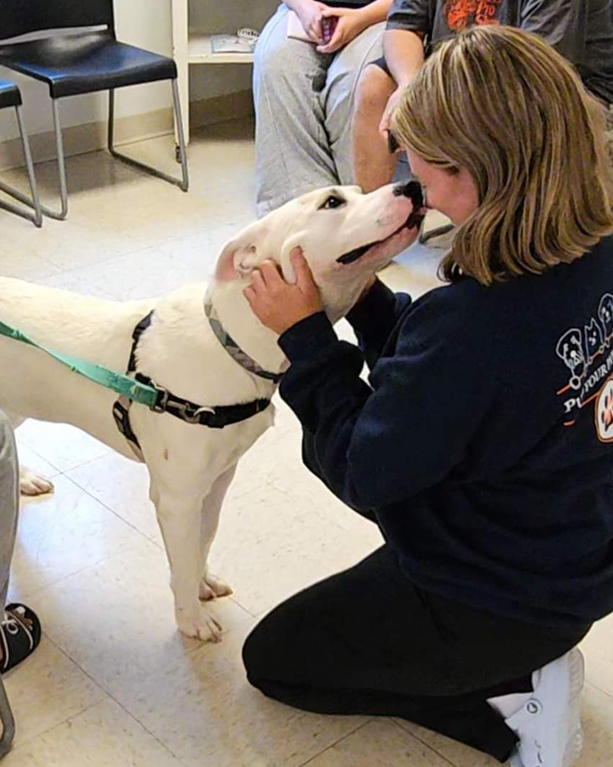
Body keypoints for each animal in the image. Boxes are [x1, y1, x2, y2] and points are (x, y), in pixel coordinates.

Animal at [0, 182, 420, 640]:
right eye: (331, 202)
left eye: (357, 190)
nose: (413, 186)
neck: (234, 346)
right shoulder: (177, 496)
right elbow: (183, 557)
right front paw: (191, 620)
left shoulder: (218, 478)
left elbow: (202, 541)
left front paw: (201, 586)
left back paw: (24, 479)